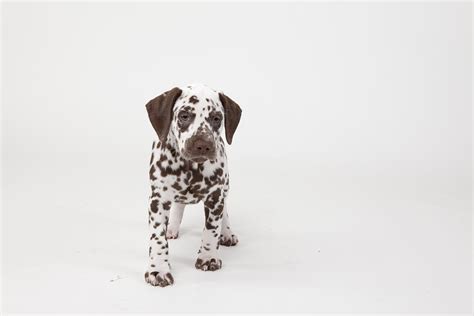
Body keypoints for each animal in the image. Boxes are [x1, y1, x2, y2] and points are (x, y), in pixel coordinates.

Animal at [143, 83, 241, 286]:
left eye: (216, 118)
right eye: (184, 115)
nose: (202, 145)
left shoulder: (215, 198)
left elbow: (211, 230)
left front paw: (208, 257)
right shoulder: (157, 200)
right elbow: (157, 238)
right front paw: (158, 269)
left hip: (225, 186)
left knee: (225, 209)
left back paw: (227, 233)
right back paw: (172, 228)